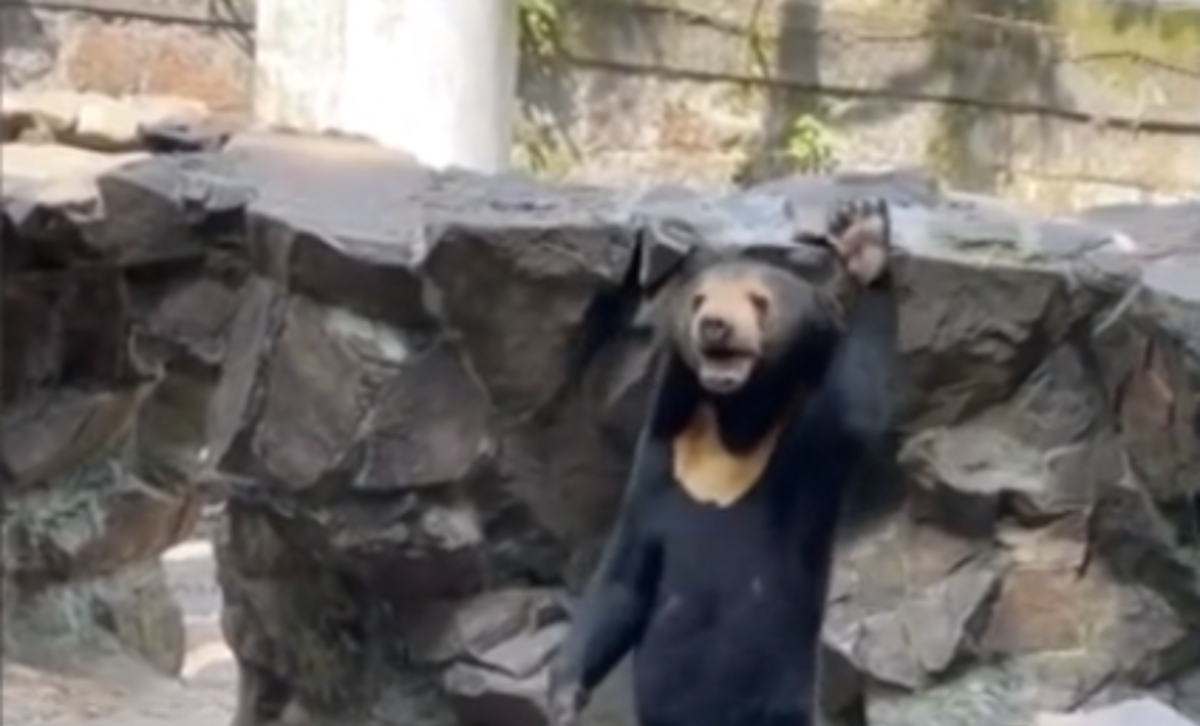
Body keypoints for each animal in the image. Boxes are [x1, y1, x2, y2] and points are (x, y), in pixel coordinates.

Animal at [547, 198, 900, 726]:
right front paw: (564, 694)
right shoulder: (661, 460)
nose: (715, 326)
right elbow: (624, 574)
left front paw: (864, 241)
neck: (729, 425)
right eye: (698, 300)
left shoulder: (808, 450)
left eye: (758, 300)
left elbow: (859, 411)